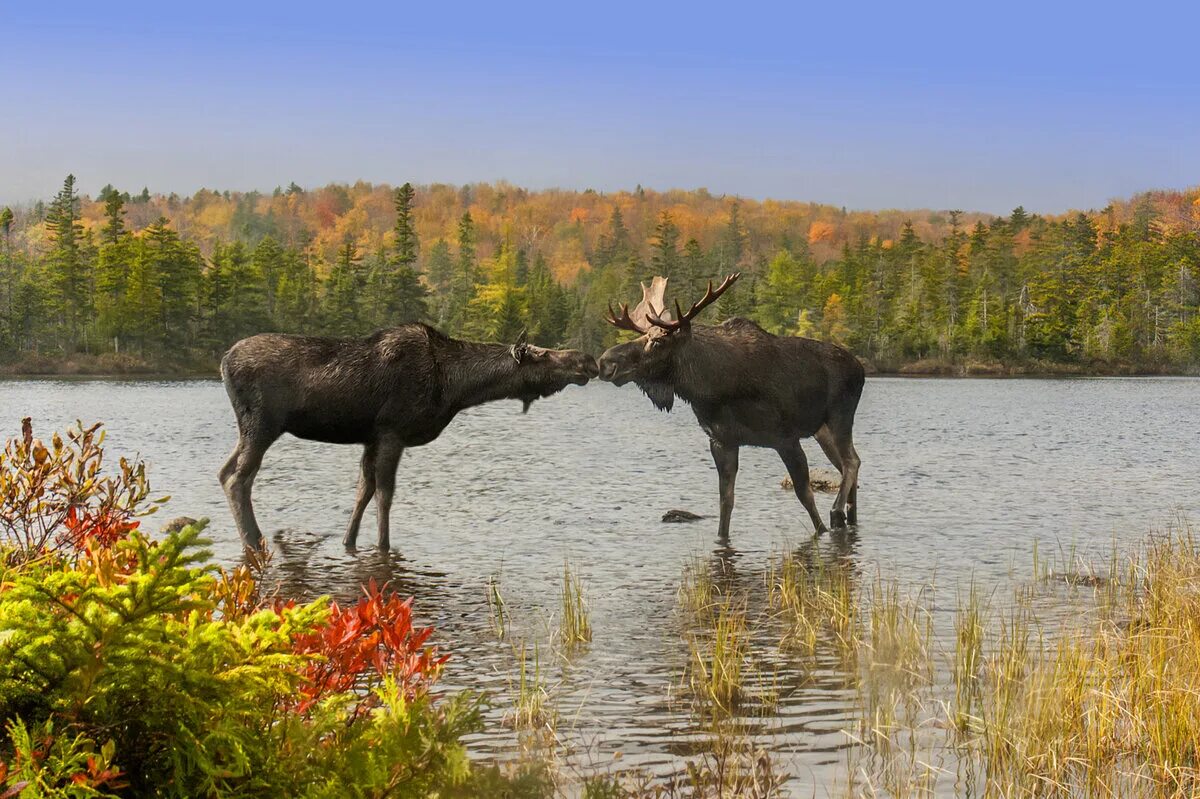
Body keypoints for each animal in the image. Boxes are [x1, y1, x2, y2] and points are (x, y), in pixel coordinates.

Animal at [218, 323, 597, 547]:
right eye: (542, 354)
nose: (588, 361)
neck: (456, 387)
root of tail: (223, 361)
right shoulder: (392, 433)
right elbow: (385, 495)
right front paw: (384, 545)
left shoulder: (371, 438)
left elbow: (363, 491)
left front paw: (348, 541)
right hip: (262, 424)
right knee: (238, 478)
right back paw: (254, 539)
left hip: (249, 428)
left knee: (225, 472)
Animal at [597, 273, 864, 535]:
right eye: (642, 336)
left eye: (657, 342)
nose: (605, 362)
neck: (712, 388)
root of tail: (860, 368)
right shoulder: (722, 441)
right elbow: (726, 503)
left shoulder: (786, 438)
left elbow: (805, 496)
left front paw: (822, 528)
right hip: (821, 431)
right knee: (848, 464)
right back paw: (850, 515)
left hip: (840, 416)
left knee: (851, 462)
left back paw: (837, 512)